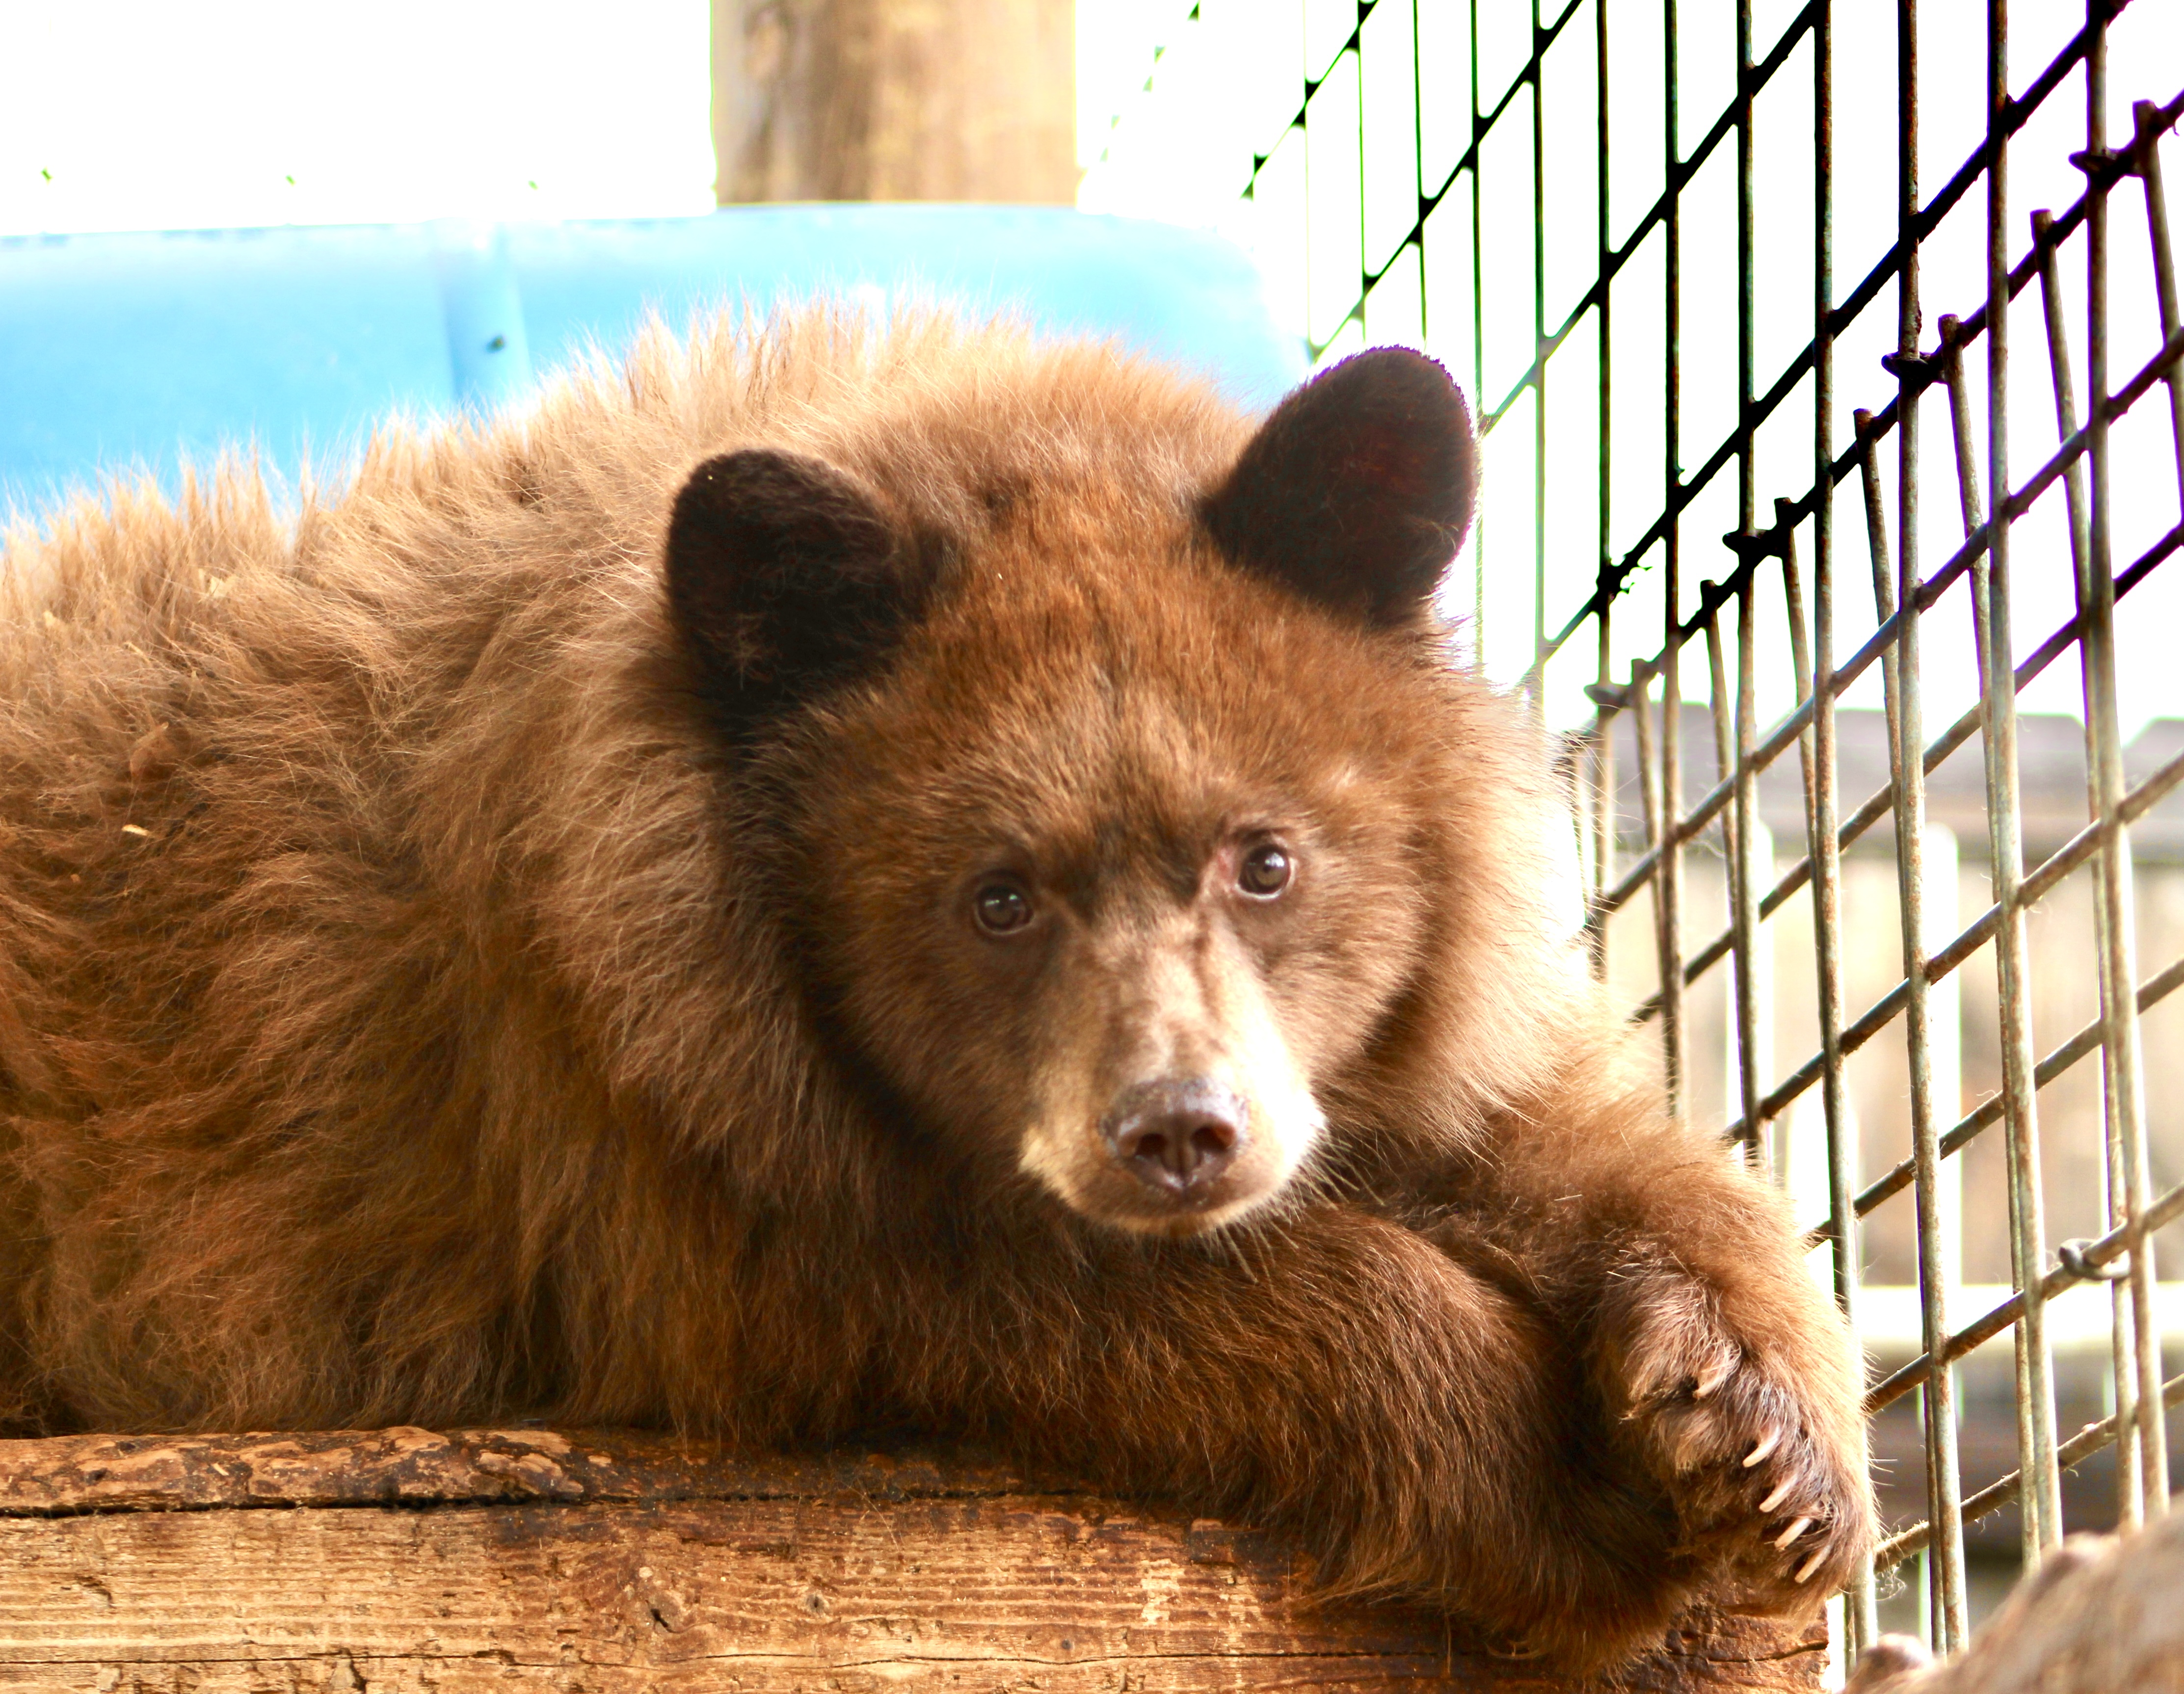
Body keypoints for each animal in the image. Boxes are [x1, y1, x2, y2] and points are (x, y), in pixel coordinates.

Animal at [0, 309, 1873, 1670]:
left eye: (1267, 857)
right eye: (997, 895)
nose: (1177, 1133)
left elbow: (1531, 1118)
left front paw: (1761, 1433)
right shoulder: (648, 1135)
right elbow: (1038, 1300)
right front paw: (1567, 1496)